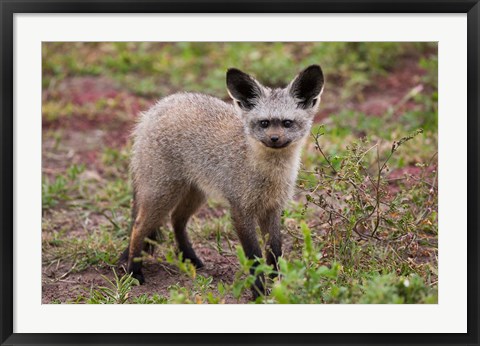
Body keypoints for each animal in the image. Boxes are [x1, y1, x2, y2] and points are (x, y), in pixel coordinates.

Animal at [120, 65, 324, 300]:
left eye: (287, 123)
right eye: (264, 123)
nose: (274, 139)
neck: (268, 175)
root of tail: (154, 110)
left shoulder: (272, 209)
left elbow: (274, 252)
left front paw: (279, 285)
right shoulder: (241, 210)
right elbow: (254, 257)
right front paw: (258, 292)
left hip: (195, 194)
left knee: (176, 220)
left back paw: (190, 258)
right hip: (162, 194)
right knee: (138, 227)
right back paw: (134, 271)